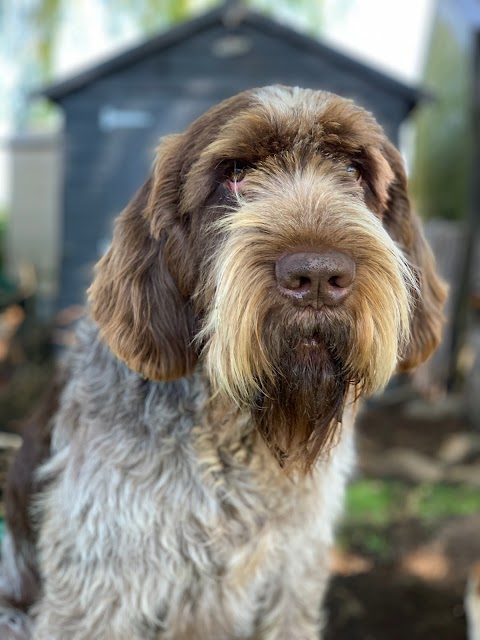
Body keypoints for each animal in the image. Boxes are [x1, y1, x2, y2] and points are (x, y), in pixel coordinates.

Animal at [0, 86, 446, 640]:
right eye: (235, 173)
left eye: (354, 171)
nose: (318, 277)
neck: (240, 435)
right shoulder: (99, 596)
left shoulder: (292, 581)